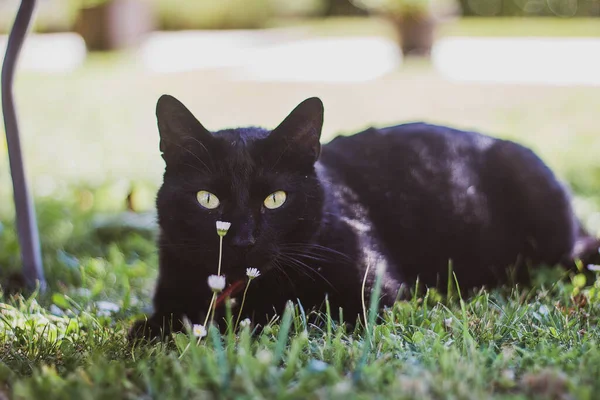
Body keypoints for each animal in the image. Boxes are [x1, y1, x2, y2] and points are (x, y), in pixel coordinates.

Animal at [129, 95, 596, 340]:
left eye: (275, 199)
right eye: (206, 199)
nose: (242, 239)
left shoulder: (368, 295)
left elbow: (288, 315)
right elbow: (155, 323)